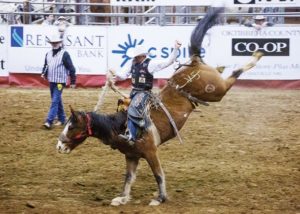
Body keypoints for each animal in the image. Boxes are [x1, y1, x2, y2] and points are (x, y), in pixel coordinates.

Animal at [56, 7, 262, 206]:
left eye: (71, 126)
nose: (58, 146)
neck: (120, 126)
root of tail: (193, 61)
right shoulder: (131, 156)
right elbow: (128, 178)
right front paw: (122, 198)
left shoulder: (151, 152)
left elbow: (158, 174)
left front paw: (160, 198)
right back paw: (224, 65)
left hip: (216, 91)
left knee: (233, 76)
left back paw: (256, 55)